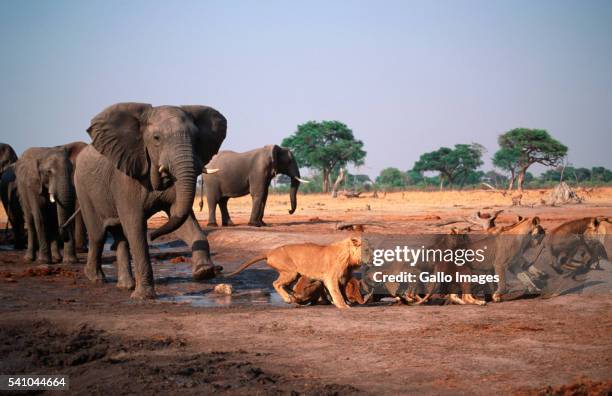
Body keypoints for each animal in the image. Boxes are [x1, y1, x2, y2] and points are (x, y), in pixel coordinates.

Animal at [76, 102, 227, 300]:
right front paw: (144, 297)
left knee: (120, 237)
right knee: (98, 235)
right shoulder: (126, 177)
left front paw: (204, 272)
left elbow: (181, 217)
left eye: (196, 138)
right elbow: (135, 225)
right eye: (157, 138)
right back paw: (96, 278)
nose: (153, 236)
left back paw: (126, 286)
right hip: (83, 189)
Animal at [226, 237, 364, 308]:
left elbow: (342, 292)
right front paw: (343, 305)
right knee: (276, 283)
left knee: (286, 286)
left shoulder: (343, 278)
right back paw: (288, 298)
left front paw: (347, 302)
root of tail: (270, 252)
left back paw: (292, 296)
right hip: (290, 272)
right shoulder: (331, 278)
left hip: (295, 274)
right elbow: (337, 292)